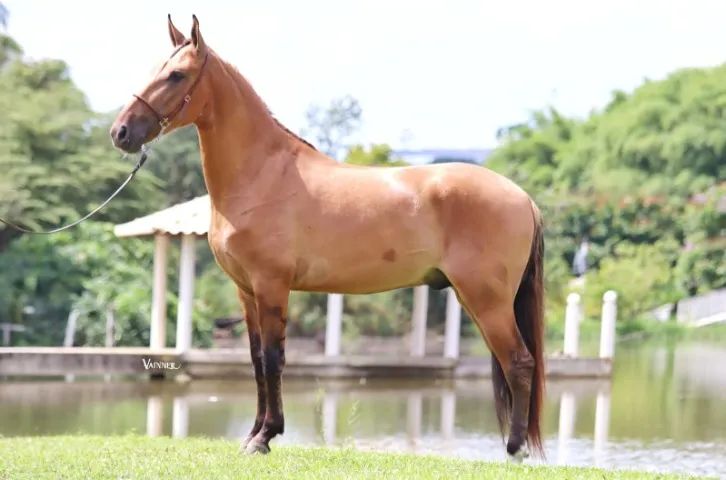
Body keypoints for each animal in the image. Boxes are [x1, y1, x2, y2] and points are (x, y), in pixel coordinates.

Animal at [110, 15, 545, 460]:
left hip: (487, 300)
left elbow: (273, 359)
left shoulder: (271, 285)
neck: (263, 174)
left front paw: (265, 437)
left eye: (176, 76)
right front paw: (252, 435)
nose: (120, 132)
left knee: (519, 362)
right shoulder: (246, 291)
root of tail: (524, 199)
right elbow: (255, 360)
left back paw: (515, 448)